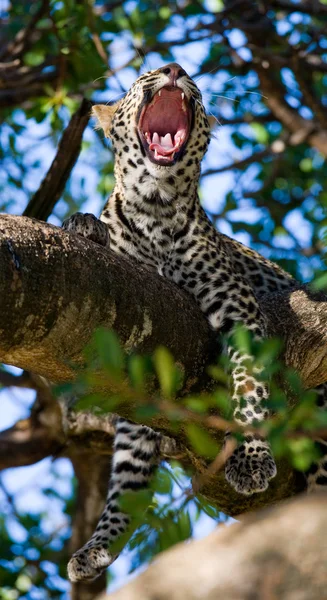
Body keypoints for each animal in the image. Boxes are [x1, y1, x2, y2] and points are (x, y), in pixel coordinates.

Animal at [62, 64, 327, 580]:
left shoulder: (238, 310)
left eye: (185, 77)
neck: (155, 205)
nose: (174, 69)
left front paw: (250, 458)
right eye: (145, 74)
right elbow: (129, 472)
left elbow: (248, 385)